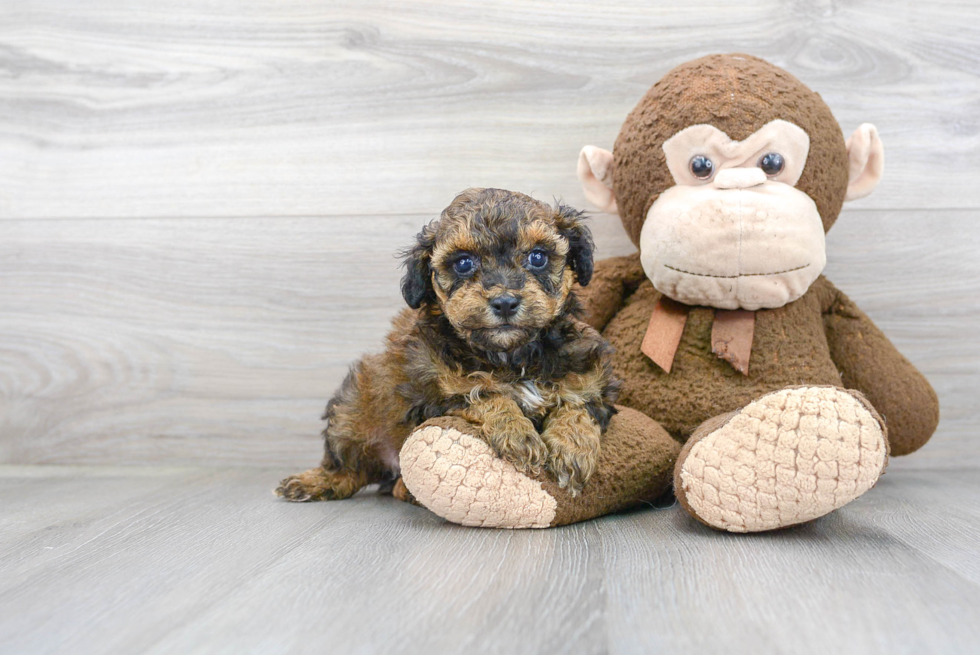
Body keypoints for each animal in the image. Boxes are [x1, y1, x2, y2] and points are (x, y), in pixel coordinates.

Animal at [276, 187, 616, 504]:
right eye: (463, 263)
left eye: (538, 257)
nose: (505, 302)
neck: (511, 356)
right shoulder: (433, 390)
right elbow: (483, 394)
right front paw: (516, 433)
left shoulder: (592, 376)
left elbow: (578, 404)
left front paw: (572, 448)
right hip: (353, 404)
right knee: (351, 466)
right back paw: (316, 481)